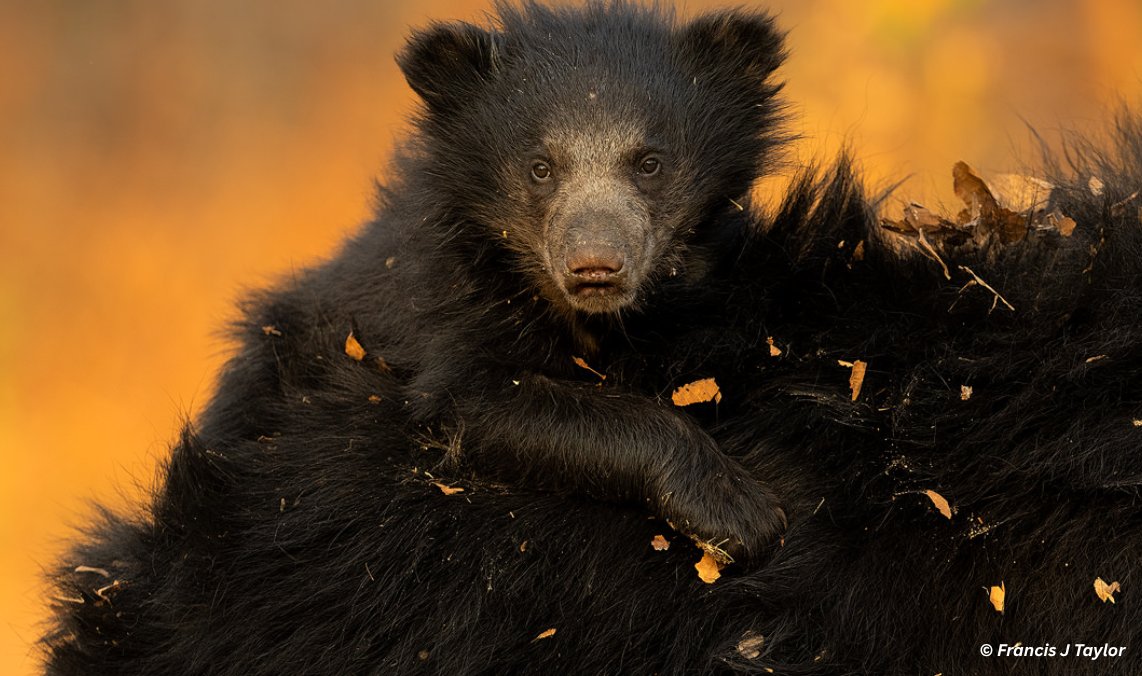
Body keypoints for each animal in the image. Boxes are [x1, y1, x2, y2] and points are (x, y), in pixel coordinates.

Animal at [43, 2, 1142, 675]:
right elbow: (499, 408)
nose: (597, 264)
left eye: (649, 161)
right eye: (538, 168)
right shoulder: (446, 308)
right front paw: (742, 509)